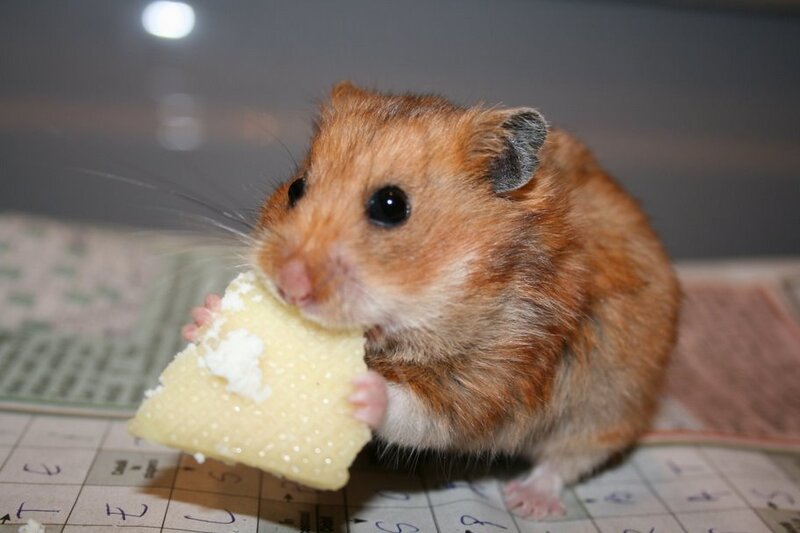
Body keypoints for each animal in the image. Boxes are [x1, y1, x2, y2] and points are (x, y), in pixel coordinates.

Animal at [186, 82, 680, 519]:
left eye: (390, 205)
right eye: (296, 188)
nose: (289, 286)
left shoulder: (493, 375)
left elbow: (420, 413)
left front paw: (363, 389)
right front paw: (203, 317)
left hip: (607, 410)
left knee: (565, 462)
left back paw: (529, 503)